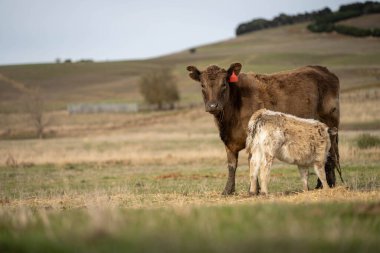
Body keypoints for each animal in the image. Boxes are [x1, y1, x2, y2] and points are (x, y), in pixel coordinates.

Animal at [186, 62, 338, 194]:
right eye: (202, 85)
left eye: (223, 84)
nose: (213, 106)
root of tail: (321, 69)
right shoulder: (228, 142)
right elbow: (232, 165)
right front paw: (228, 191)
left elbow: (251, 163)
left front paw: (254, 190)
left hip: (331, 127)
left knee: (330, 156)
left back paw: (328, 185)